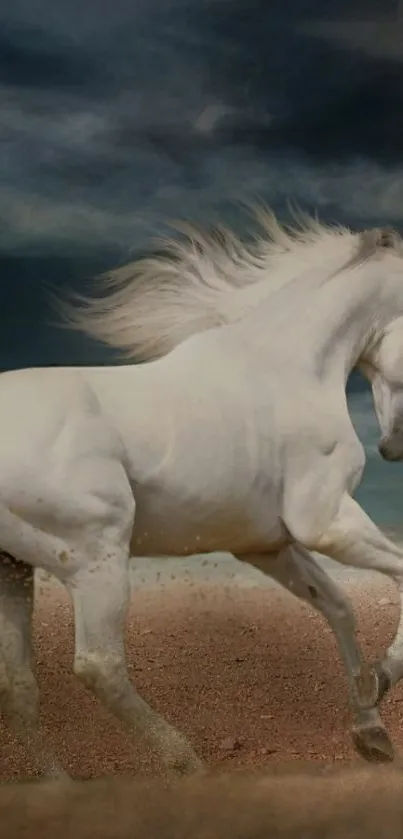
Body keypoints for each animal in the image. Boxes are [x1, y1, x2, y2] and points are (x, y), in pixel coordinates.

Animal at [0, 213, 403, 776]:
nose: (392, 447)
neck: (287, 367)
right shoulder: (327, 523)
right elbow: (397, 575)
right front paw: (382, 681)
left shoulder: (266, 546)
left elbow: (339, 606)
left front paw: (370, 728)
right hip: (95, 558)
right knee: (100, 666)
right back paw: (188, 764)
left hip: (13, 571)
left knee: (18, 683)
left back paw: (60, 785)